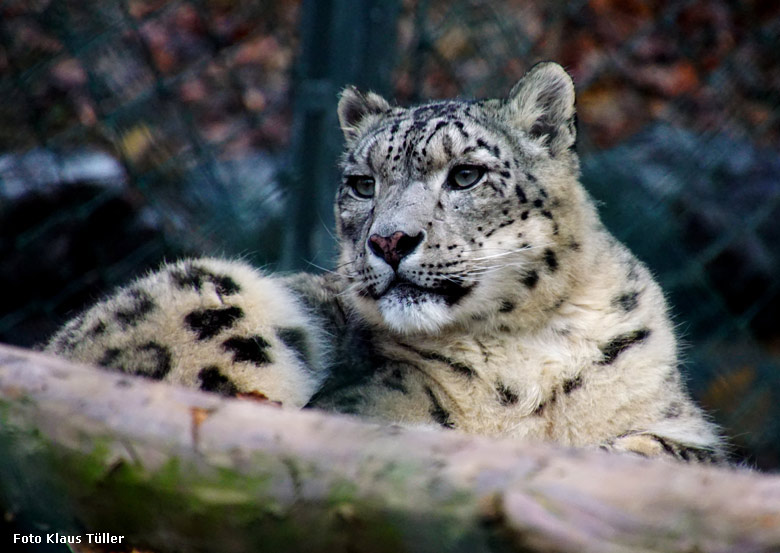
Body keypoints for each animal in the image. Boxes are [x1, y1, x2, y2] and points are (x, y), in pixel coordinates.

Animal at [44, 61, 724, 462]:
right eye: (362, 184)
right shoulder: (364, 404)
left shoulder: (681, 425)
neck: (524, 350)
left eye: (467, 174)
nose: (391, 241)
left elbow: (665, 453)